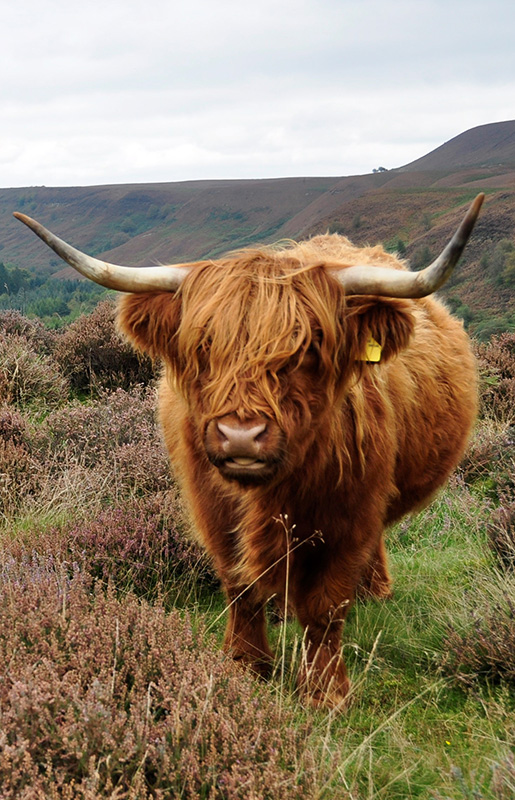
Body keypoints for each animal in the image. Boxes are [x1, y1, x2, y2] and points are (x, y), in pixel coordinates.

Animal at [14, 194, 484, 708]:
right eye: (204, 344)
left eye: (309, 347)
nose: (240, 436)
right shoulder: (211, 506)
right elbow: (239, 587)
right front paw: (245, 665)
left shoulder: (351, 511)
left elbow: (326, 605)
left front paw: (324, 691)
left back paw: (375, 591)